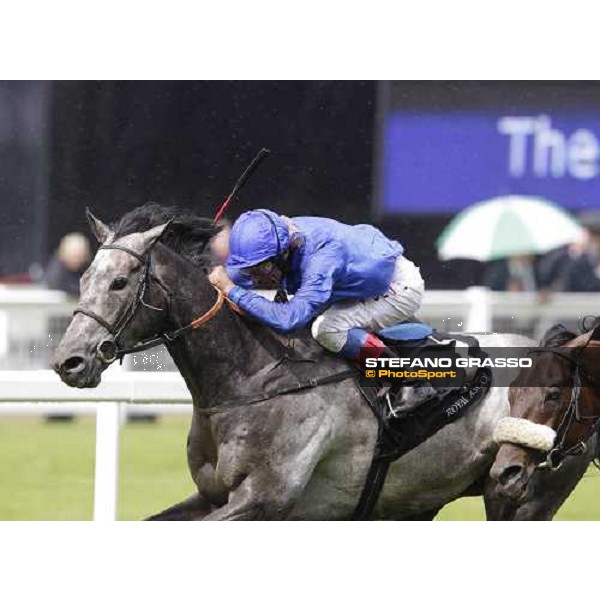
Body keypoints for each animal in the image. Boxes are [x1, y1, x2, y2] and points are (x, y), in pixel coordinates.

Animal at [52, 204, 596, 516]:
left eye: (120, 282)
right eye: (83, 279)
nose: (69, 361)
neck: (252, 379)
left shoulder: (264, 501)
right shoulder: (210, 497)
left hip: (522, 492)